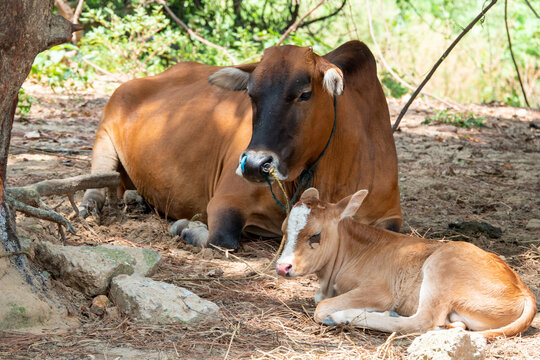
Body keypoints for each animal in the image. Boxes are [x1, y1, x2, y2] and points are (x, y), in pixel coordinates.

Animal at [80, 41, 400, 248]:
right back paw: (90, 205)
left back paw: (137, 200)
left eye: (305, 94)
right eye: (251, 94)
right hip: (105, 129)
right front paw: (187, 228)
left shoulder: (390, 215)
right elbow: (221, 239)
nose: (257, 165)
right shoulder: (225, 202)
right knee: (97, 178)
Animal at [276, 187, 536, 338]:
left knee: (422, 322)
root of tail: (524, 290)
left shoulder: (381, 291)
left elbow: (322, 307)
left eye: (315, 235)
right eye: (284, 230)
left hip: (440, 266)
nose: (282, 267)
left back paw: (347, 316)